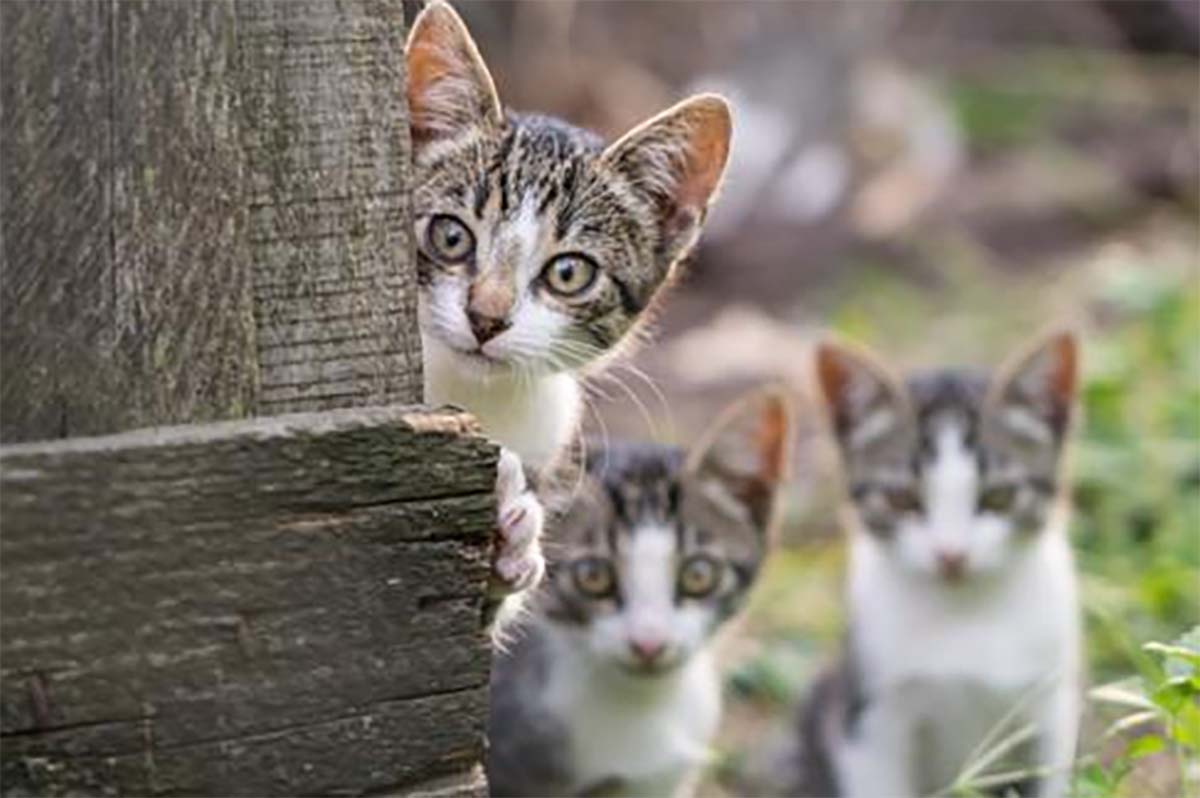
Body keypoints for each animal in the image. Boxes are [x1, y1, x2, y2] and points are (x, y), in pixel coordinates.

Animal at [787, 331, 1089, 796]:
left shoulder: (1051, 704)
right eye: (902, 499)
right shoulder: (872, 720)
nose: (951, 555)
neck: (963, 615)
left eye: (998, 496)